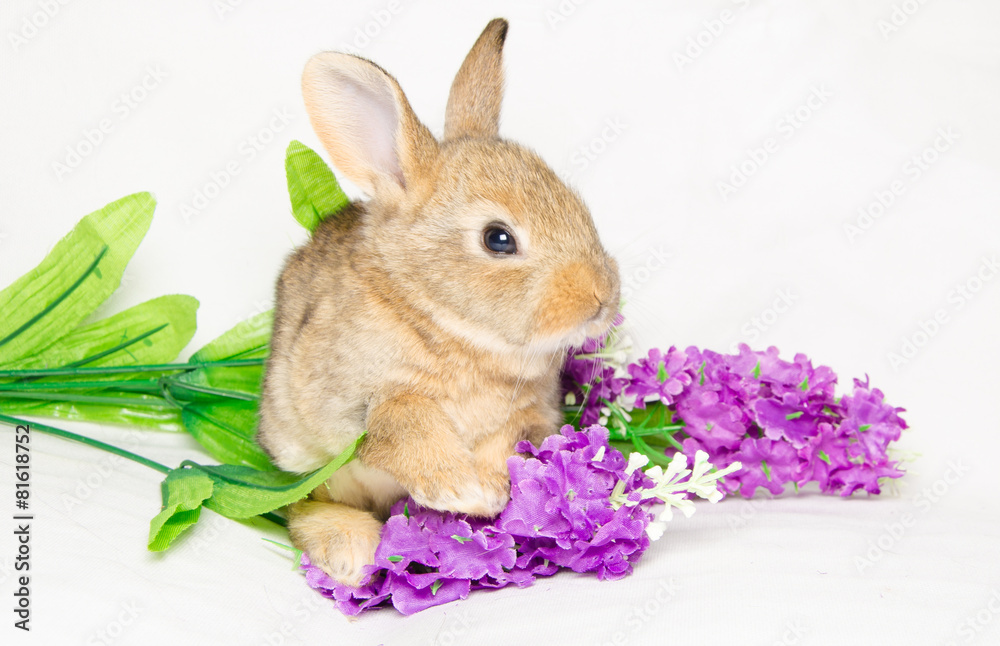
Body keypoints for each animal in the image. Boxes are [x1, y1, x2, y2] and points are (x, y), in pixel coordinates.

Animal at [256, 18, 621, 586]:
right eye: (498, 239)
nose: (602, 300)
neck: (442, 319)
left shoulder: (525, 415)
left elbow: (504, 441)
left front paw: (490, 493)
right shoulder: (365, 402)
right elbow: (403, 426)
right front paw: (463, 493)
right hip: (303, 459)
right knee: (303, 504)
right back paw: (350, 554)